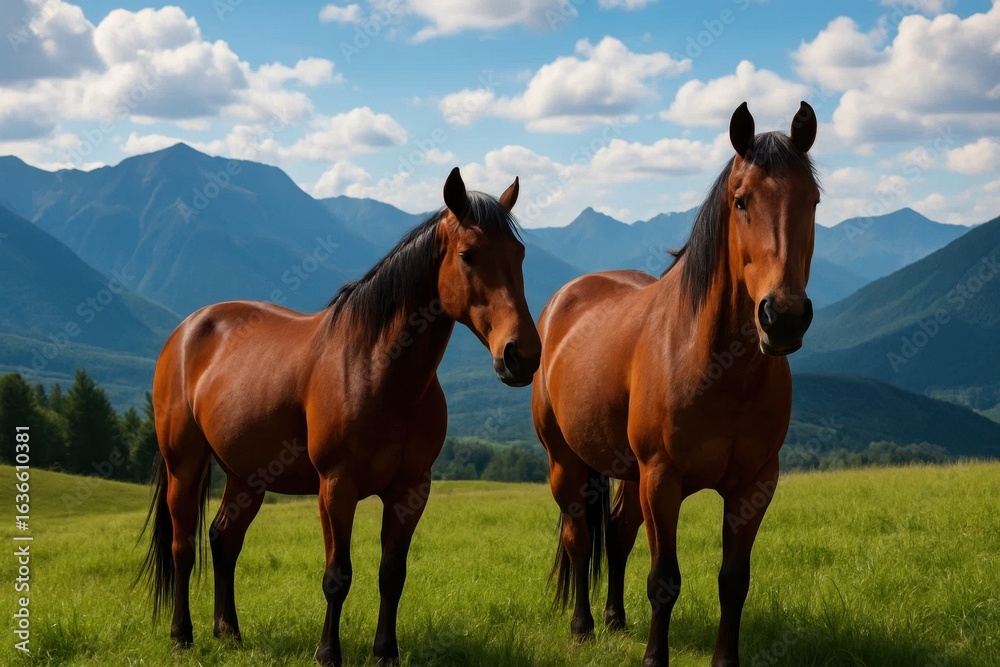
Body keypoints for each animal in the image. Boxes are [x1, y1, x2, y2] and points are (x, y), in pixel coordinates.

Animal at [139, 167, 541, 665]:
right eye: (468, 255)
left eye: (519, 254)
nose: (521, 355)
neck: (378, 370)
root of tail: (187, 329)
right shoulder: (336, 487)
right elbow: (337, 576)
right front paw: (328, 652)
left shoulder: (411, 490)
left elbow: (392, 573)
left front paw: (385, 651)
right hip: (185, 464)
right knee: (182, 546)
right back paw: (182, 634)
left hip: (245, 476)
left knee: (223, 539)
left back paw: (228, 631)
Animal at [532, 101, 820, 666]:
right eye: (741, 201)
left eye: (813, 201)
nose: (783, 317)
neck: (717, 367)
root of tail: (563, 300)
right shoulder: (662, 480)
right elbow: (664, 580)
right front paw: (653, 657)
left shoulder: (755, 486)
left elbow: (734, 581)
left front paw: (724, 659)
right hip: (567, 463)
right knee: (581, 537)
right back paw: (583, 626)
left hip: (626, 471)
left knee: (617, 533)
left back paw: (615, 619)